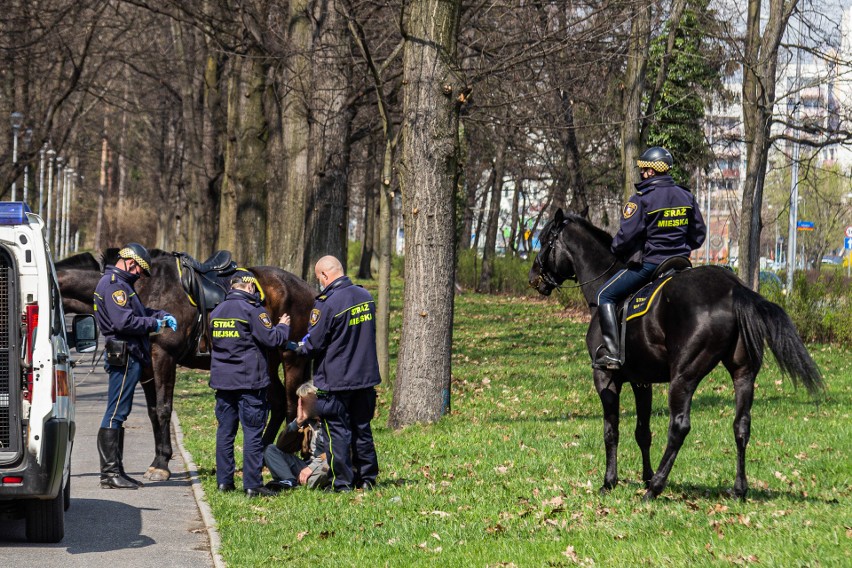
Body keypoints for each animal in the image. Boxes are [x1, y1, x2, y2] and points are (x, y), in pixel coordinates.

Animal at [56, 248, 316, 480]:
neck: (143, 288)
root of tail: (307, 288)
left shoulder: (164, 357)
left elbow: (164, 409)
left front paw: (161, 466)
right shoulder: (147, 367)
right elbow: (153, 412)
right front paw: (159, 459)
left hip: (292, 359)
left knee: (292, 407)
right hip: (265, 363)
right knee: (279, 404)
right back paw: (260, 457)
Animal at [528, 210, 824, 502]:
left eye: (544, 240)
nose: (533, 277)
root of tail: (733, 288)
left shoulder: (605, 378)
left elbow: (611, 431)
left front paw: (610, 482)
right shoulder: (641, 381)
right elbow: (642, 432)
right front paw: (644, 476)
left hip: (683, 377)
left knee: (679, 427)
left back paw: (655, 488)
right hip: (743, 374)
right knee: (741, 425)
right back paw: (738, 489)